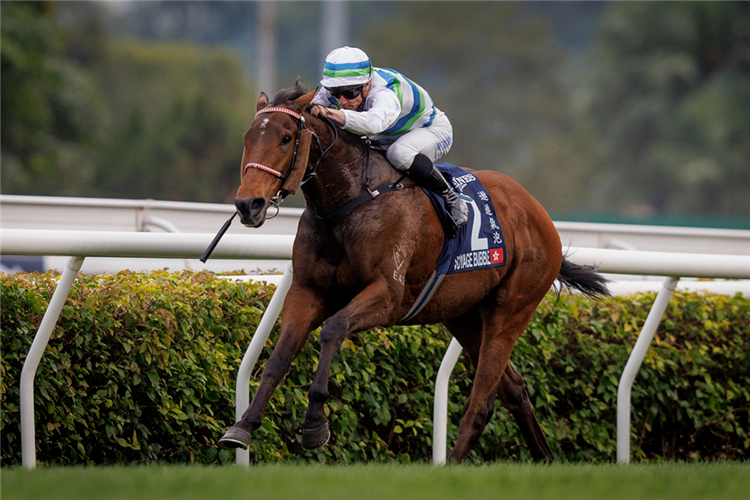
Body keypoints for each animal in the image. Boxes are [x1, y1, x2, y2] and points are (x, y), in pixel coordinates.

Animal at [219, 80, 612, 462]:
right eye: (247, 138)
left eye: (286, 138)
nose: (248, 204)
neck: (348, 201)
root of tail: (539, 215)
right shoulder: (307, 291)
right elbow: (279, 357)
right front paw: (242, 426)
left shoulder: (388, 296)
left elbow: (333, 329)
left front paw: (315, 424)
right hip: (464, 315)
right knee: (513, 390)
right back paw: (544, 458)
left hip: (511, 310)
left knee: (482, 402)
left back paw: (451, 464)